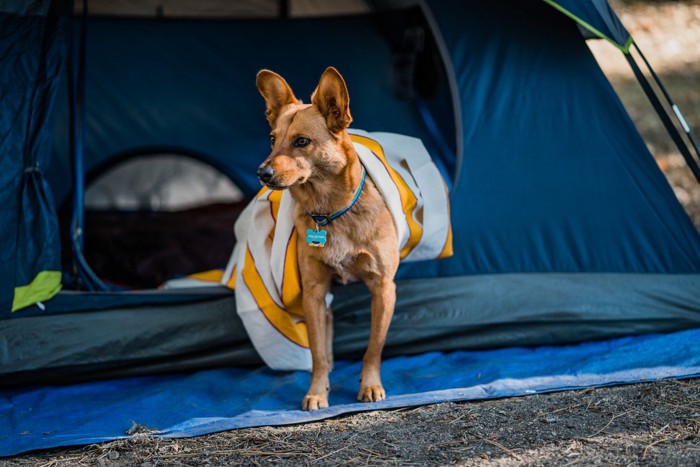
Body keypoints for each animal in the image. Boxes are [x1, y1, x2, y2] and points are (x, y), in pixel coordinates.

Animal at [256, 67, 400, 412]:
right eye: (272, 139)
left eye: (302, 142)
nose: (261, 173)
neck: (330, 212)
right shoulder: (314, 291)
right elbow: (318, 352)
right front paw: (318, 391)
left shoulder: (383, 288)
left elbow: (373, 347)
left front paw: (370, 385)